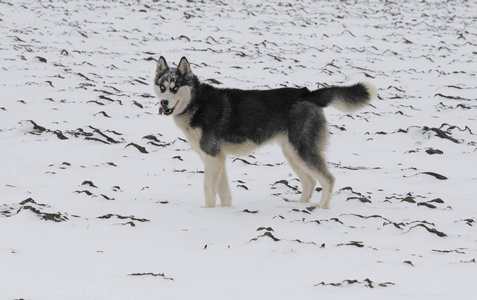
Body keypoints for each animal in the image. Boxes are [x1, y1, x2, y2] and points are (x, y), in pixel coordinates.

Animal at [155, 57, 376, 210]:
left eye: (175, 88)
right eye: (162, 87)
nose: (163, 103)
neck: (197, 103)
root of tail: (308, 93)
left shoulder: (212, 157)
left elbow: (209, 189)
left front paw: (207, 211)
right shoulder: (217, 158)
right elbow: (223, 192)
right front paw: (224, 211)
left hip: (302, 151)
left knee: (328, 180)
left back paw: (321, 208)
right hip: (292, 153)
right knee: (310, 182)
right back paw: (299, 205)